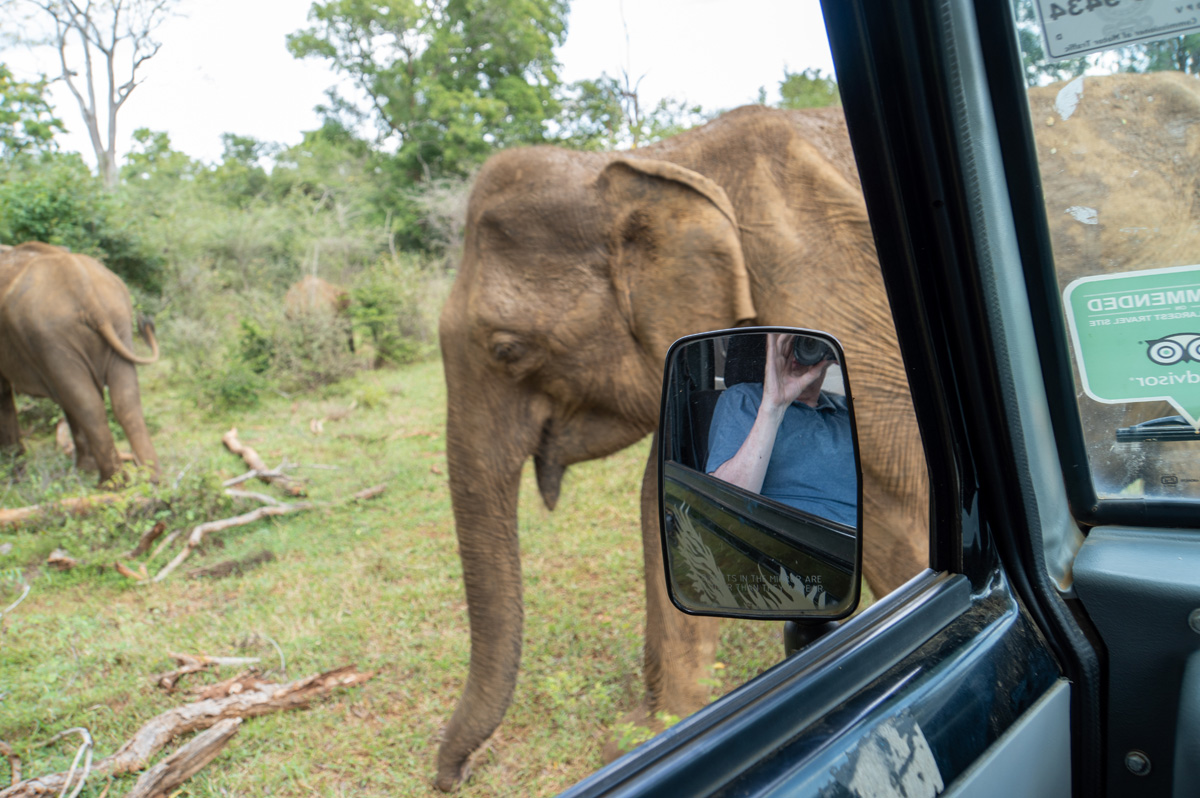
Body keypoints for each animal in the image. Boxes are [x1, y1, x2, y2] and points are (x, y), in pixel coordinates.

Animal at [0, 242, 160, 485]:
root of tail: (86, 293)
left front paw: (15, 474)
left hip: (50, 337)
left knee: (86, 403)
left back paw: (110, 484)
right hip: (118, 321)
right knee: (123, 399)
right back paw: (151, 478)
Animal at [436, 104, 929, 789]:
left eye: (507, 349)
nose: (452, 776)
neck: (656, 159)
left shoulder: (847, 308)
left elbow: (902, 510)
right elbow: (658, 504)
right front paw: (654, 735)